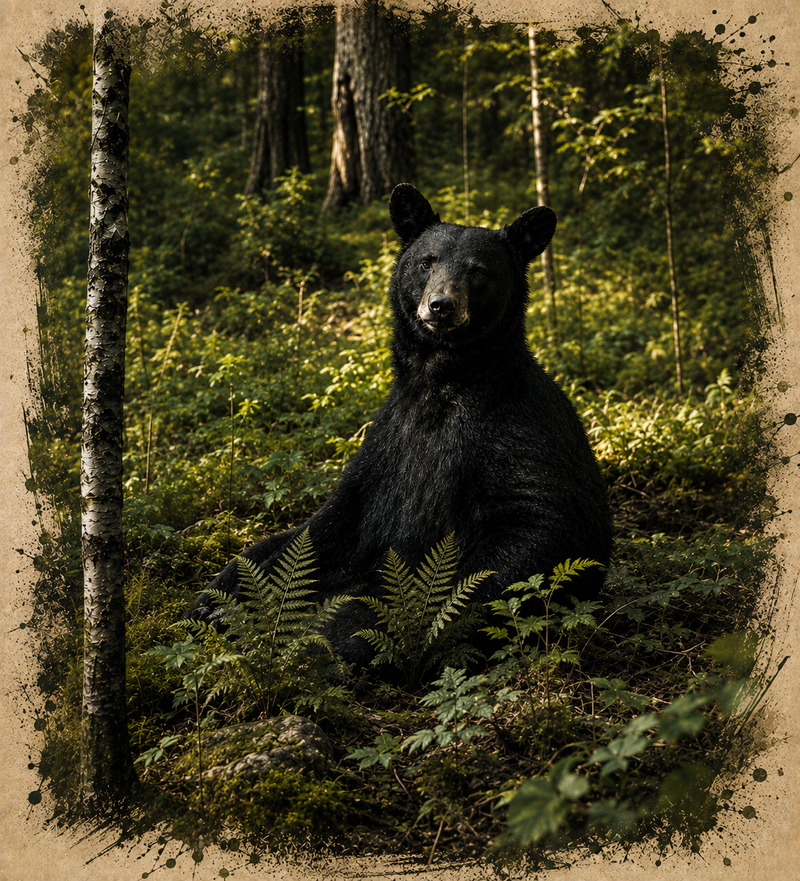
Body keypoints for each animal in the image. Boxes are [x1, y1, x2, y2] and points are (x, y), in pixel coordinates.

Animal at [185, 183, 613, 667]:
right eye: (427, 261)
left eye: (479, 270)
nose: (440, 305)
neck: (441, 382)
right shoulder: (387, 442)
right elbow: (326, 522)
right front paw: (219, 600)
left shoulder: (516, 431)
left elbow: (542, 525)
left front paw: (336, 636)